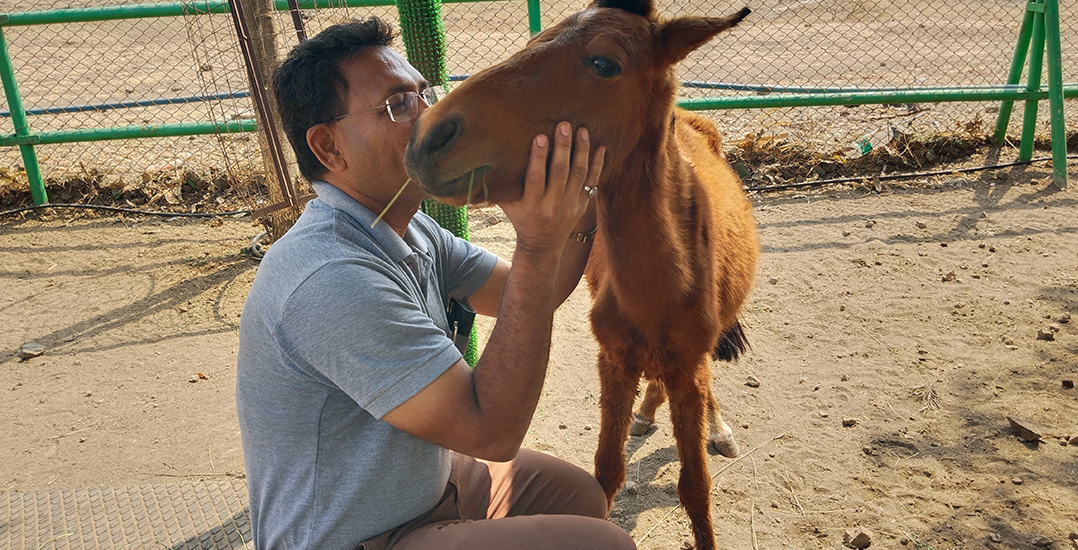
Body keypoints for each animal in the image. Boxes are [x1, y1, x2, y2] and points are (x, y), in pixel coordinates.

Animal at [403, 1, 758, 548]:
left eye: (604, 64)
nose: (429, 136)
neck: (660, 288)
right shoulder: (614, 361)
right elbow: (606, 473)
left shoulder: (688, 363)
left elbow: (695, 487)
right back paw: (647, 412)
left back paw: (715, 427)